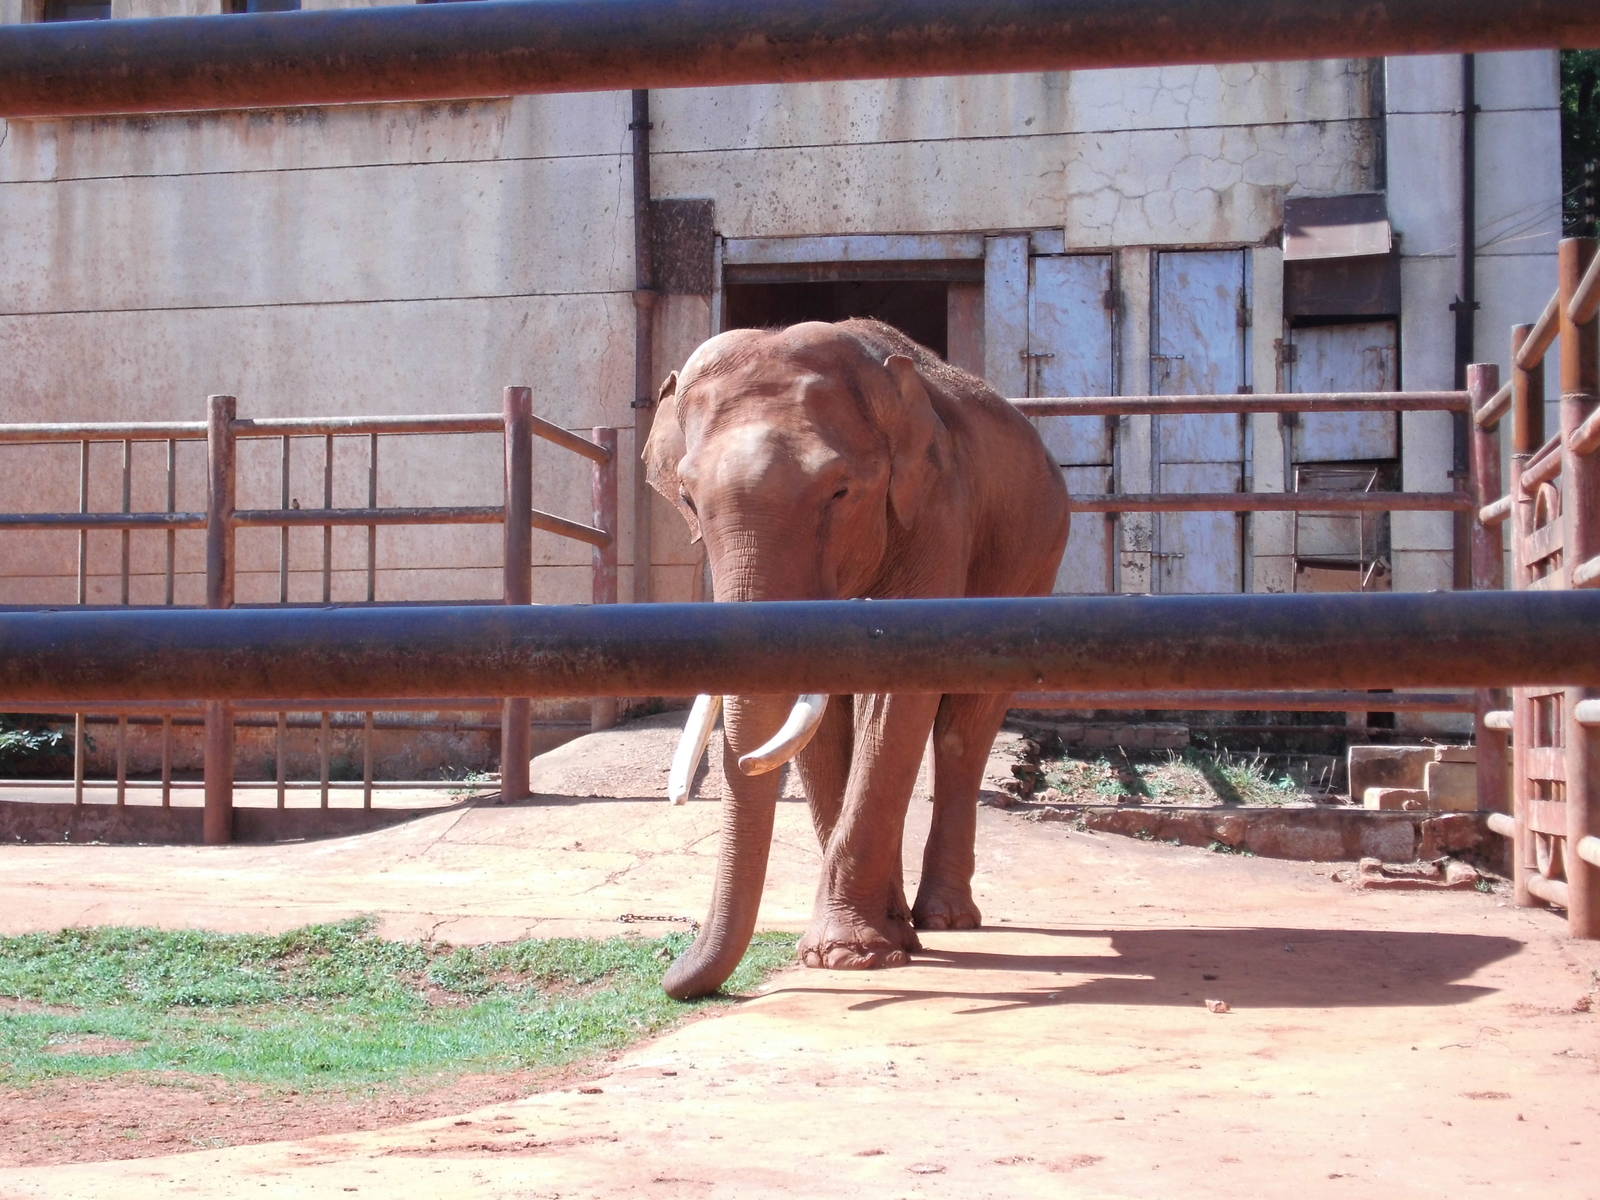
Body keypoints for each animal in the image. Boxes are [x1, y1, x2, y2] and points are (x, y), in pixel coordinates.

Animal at [643, 318, 1069, 1000]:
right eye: (687, 496)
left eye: (840, 491)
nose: (672, 977)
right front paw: (883, 942)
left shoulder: (935, 512)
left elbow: (898, 695)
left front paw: (849, 957)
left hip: (1035, 561)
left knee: (966, 725)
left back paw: (946, 920)